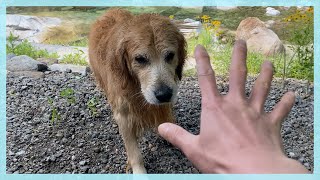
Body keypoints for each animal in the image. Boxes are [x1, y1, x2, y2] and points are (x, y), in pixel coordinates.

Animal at [89, 8, 186, 173]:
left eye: (170, 55)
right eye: (140, 59)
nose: (164, 95)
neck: (135, 86)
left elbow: (165, 120)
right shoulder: (124, 115)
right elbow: (135, 153)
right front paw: (139, 171)